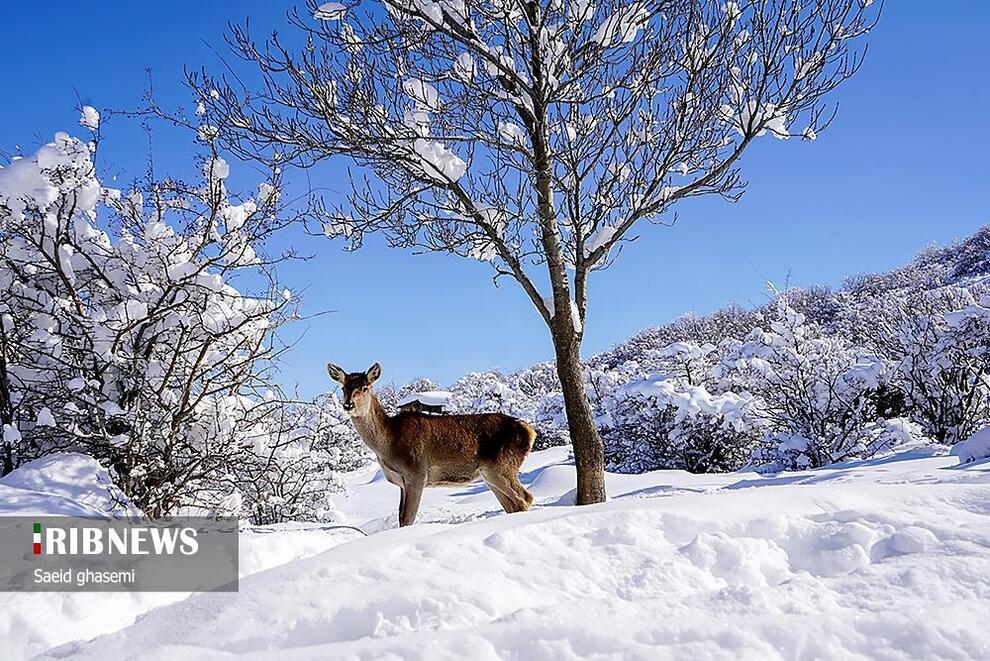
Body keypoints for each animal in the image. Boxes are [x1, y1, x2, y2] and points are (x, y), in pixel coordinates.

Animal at [330, 360, 536, 524]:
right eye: (344, 388)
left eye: (365, 388)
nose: (348, 405)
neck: (388, 444)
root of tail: (530, 432)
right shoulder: (402, 482)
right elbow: (401, 518)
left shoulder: (416, 473)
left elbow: (407, 519)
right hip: (490, 475)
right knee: (514, 505)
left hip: (501, 466)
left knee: (525, 498)